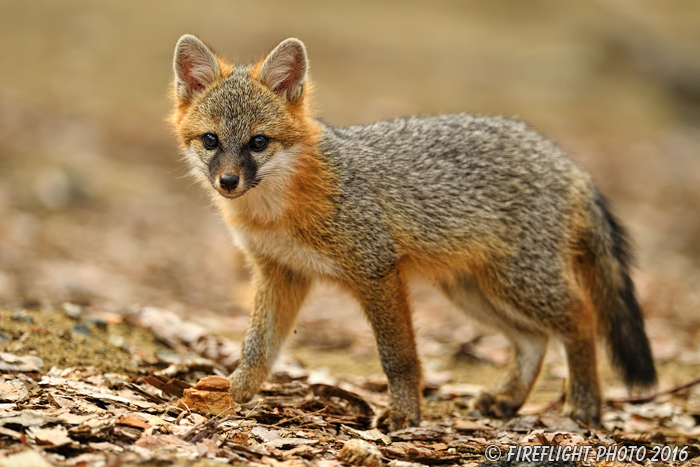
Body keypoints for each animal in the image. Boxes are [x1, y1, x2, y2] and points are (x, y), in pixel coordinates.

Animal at [170, 35, 656, 432]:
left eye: (258, 142)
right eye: (211, 141)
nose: (228, 182)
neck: (277, 210)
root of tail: (566, 161)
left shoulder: (377, 271)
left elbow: (397, 356)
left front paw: (405, 414)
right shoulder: (279, 273)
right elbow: (258, 346)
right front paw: (231, 393)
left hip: (518, 285)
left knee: (581, 317)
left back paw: (586, 406)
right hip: (475, 292)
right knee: (533, 338)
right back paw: (508, 400)